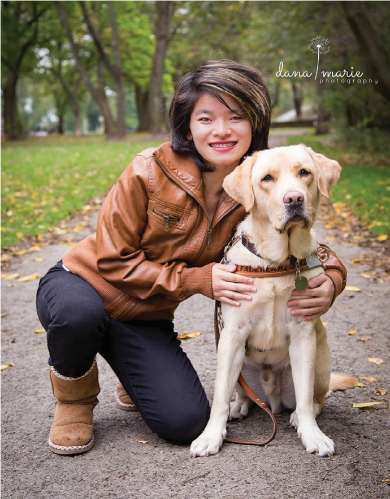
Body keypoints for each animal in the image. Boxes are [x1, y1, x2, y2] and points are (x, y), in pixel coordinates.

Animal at [190, 144, 354, 458]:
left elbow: (305, 397)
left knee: (314, 399)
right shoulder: (232, 335)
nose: (294, 198)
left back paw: (298, 416)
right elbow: (219, 397)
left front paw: (313, 435)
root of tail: (272, 398)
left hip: (321, 359)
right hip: (239, 363)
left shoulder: (303, 335)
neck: (276, 263)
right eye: (267, 178)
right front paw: (210, 436)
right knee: (242, 393)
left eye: (305, 172)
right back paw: (239, 406)